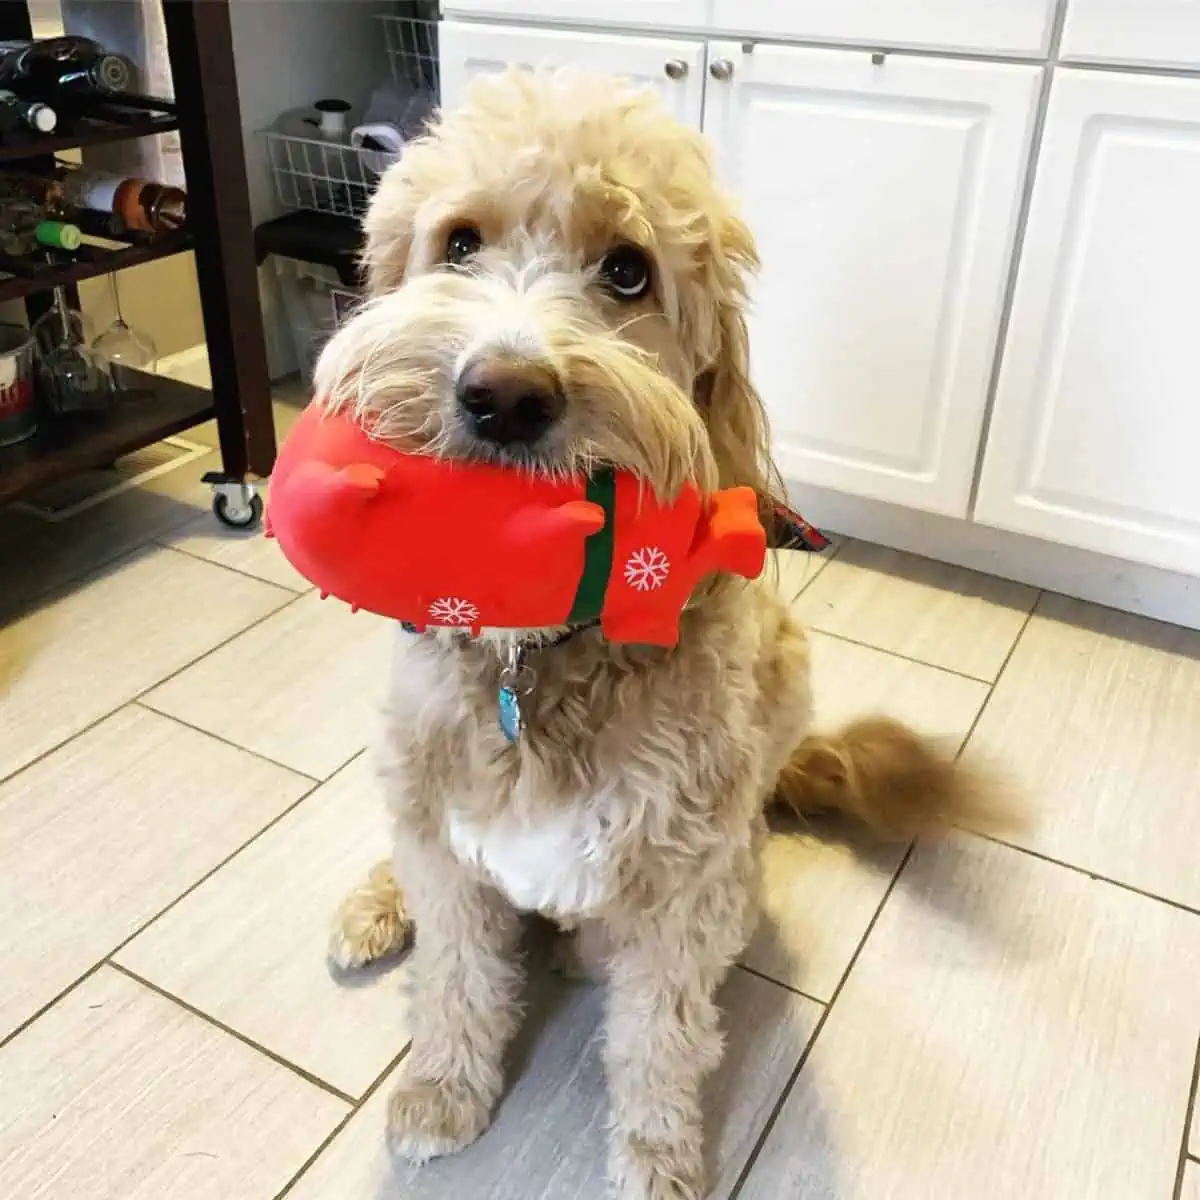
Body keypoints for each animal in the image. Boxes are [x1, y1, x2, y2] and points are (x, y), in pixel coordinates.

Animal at [316, 68, 993, 1200]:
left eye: (628, 271)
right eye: (459, 242)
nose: (504, 395)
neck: (539, 652)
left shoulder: (677, 892)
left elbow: (658, 1037)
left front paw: (658, 1157)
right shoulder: (450, 844)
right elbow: (457, 975)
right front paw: (443, 1091)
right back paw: (376, 904)